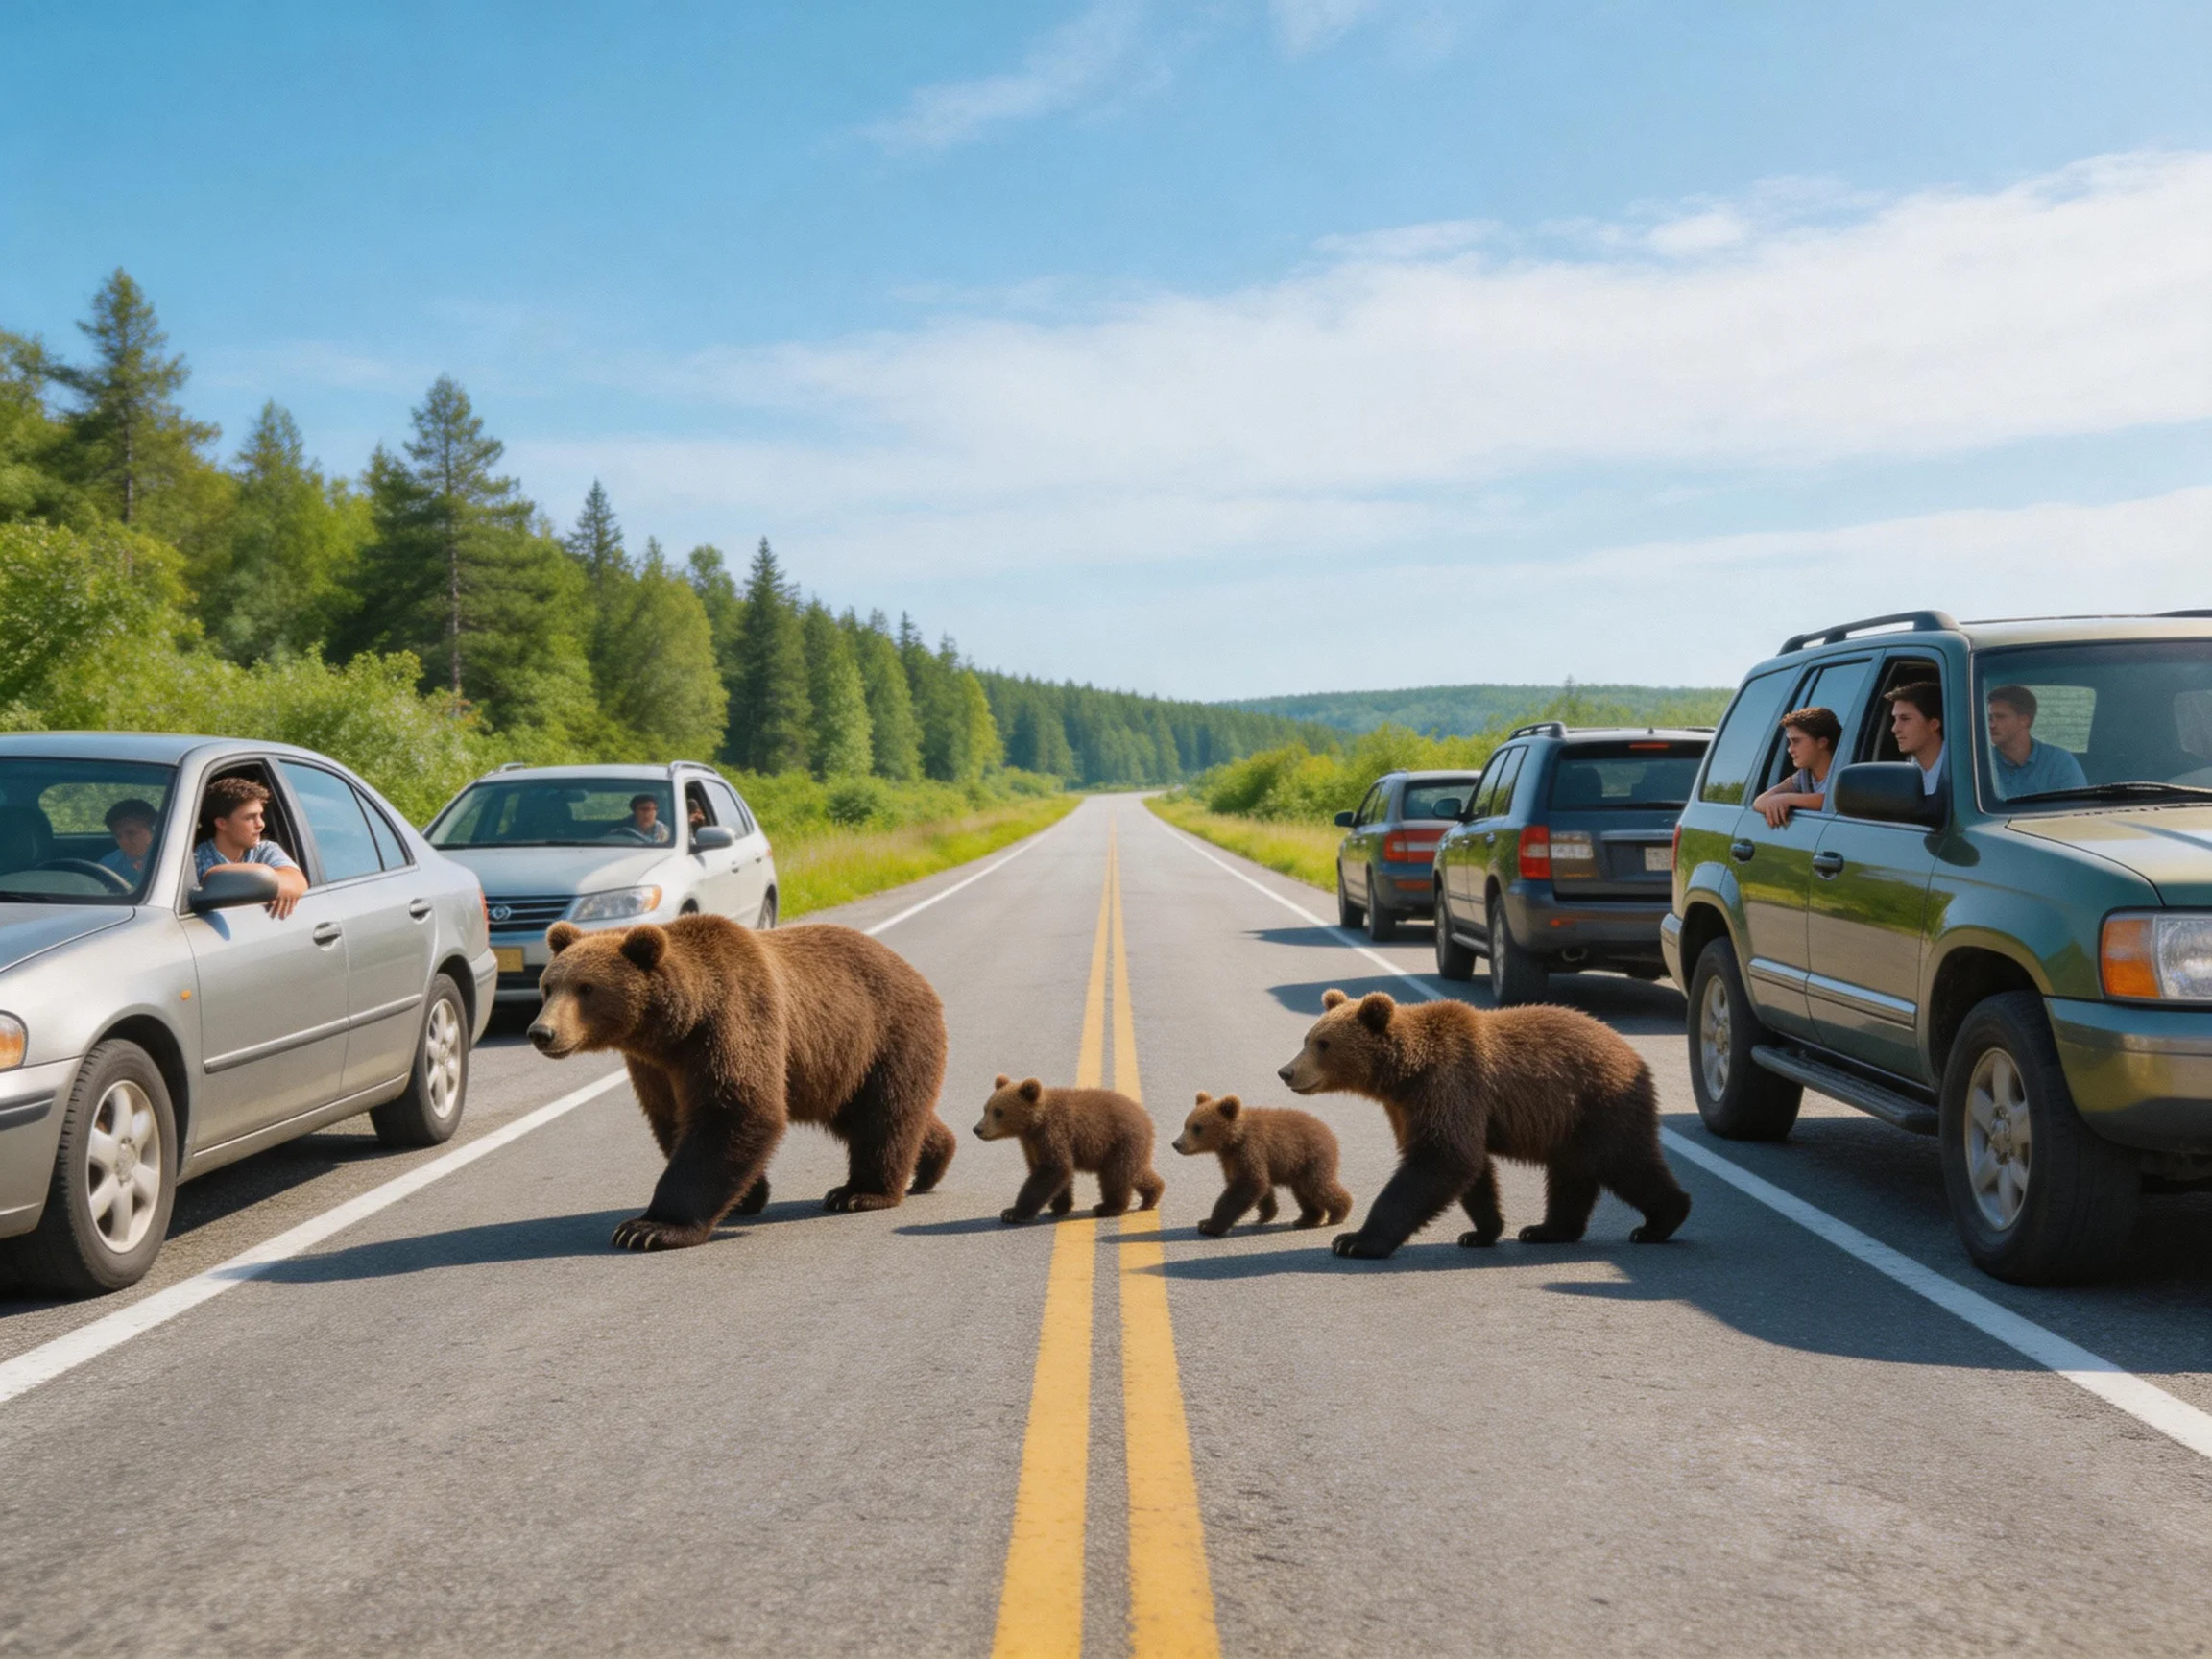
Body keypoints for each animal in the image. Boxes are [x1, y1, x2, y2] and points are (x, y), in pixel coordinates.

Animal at [529, 914, 957, 1251]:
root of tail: (916, 975)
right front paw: (745, 1198)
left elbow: (735, 1111)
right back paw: (932, 1162)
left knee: (884, 1114)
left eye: (586, 988)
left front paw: (648, 1228)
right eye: (548, 986)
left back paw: (861, 1192)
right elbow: (674, 1119)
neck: (674, 1028)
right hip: (841, 1064)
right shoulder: (655, 1068)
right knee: (877, 1114)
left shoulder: (731, 1023)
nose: (541, 1032)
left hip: (884, 1034)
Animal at [972, 1075, 1166, 1223]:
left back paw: (1108, 1207)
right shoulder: (1032, 1144)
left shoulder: (1054, 1133)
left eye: (998, 1111)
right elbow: (1053, 1173)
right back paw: (1151, 1196)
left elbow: (1054, 1170)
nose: (977, 1129)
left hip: (1120, 1142)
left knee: (1115, 1176)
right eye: (985, 1108)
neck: (1033, 1125)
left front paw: (1012, 1212)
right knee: (1136, 1172)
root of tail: (1147, 1120)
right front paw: (1059, 1206)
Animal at [1171, 1092, 1353, 1237]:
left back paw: (1339, 1213)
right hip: (1299, 1168)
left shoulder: (1251, 1149)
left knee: (1317, 1187)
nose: (1176, 1144)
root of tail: (1331, 1135)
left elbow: (1249, 1184)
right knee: (1303, 1192)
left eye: (1197, 1127)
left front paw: (1209, 1225)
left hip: (1313, 1159)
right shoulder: (1230, 1159)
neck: (1233, 1141)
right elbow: (1258, 1186)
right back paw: (1307, 1219)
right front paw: (1265, 1214)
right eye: (1185, 1124)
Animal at [1277, 988, 1690, 1259]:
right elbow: (1469, 1168)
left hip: (1600, 1104)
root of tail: (1632, 1053)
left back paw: (1659, 1221)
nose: (1286, 1071)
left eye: (1323, 1044)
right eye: (1307, 1037)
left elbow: (1442, 1159)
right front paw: (1481, 1231)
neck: (1404, 1075)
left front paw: (1355, 1240)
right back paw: (1547, 1229)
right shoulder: (1413, 1106)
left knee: (1625, 1162)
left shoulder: (1450, 1083)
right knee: (1571, 1174)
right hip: (1569, 1122)